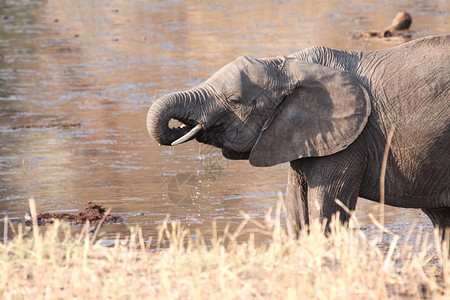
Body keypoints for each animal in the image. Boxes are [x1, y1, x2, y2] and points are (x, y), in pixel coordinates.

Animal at [146, 34, 448, 237]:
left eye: (233, 100)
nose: (183, 127)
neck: (289, 66)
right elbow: (295, 211)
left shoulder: (351, 142)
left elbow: (326, 210)